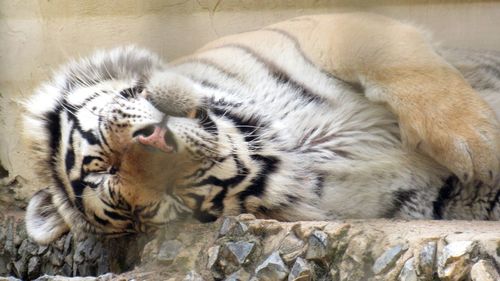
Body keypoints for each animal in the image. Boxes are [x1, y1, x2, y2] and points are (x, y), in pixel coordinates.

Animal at [21, 14, 498, 244]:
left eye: (103, 164)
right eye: (166, 196)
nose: (155, 140)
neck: (291, 144)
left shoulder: (337, 29)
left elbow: (409, 69)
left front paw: (478, 142)